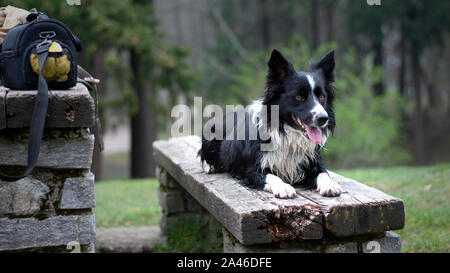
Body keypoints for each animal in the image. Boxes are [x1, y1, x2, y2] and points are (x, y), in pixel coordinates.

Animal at [199, 49, 342, 198]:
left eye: (321, 97)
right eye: (298, 97)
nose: (323, 118)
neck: (285, 131)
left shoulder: (313, 161)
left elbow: (323, 173)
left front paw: (330, 185)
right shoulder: (249, 169)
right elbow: (272, 176)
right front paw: (283, 187)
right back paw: (210, 166)